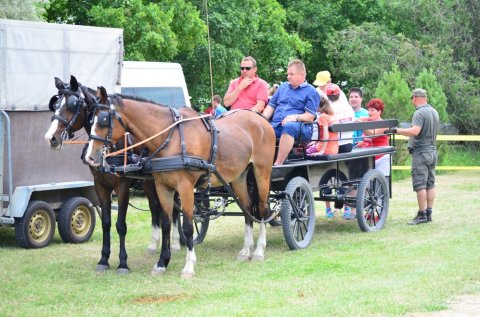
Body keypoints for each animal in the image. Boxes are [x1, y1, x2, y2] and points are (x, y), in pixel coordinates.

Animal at [44, 76, 182, 272]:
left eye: (72, 105)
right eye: (55, 104)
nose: (51, 138)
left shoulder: (122, 186)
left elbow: (121, 225)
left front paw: (123, 263)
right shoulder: (100, 185)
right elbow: (106, 223)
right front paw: (103, 259)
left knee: (175, 210)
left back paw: (177, 243)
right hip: (149, 183)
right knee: (156, 208)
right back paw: (153, 245)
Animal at [84, 87, 276, 276]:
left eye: (103, 120)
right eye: (90, 119)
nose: (90, 157)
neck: (171, 138)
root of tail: (261, 121)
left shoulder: (185, 187)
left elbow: (188, 227)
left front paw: (189, 266)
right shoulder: (163, 187)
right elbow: (166, 223)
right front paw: (162, 262)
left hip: (262, 173)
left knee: (262, 209)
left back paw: (259, 250)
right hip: (239, 177)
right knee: (247, 207)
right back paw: (246, 250)